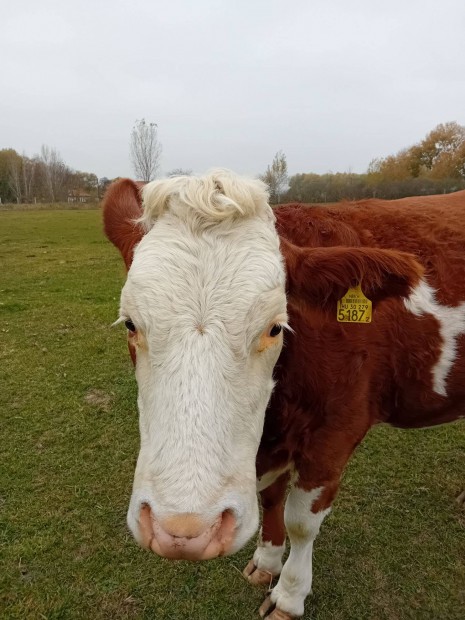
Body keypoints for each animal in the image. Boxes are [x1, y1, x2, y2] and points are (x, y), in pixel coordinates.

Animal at [102, 172, 464, 620]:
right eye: (130, 324)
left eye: (275, 327)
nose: (184, 531)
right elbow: (271, 496)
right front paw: (267, 562)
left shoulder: (335, 435)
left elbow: (302, 521)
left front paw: (290, 595)